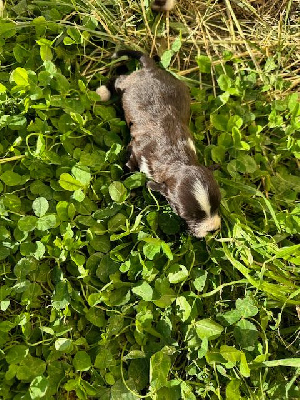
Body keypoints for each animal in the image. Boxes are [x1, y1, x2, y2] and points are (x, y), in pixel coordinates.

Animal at [96, 50, 220, 238]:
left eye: (217, 204)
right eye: (184, 214)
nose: (212, 230)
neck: (178, 159)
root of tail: (151, 69)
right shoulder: (135, 152)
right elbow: (129, 169)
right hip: (127, 85)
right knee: (119, 79)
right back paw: (103, 91)